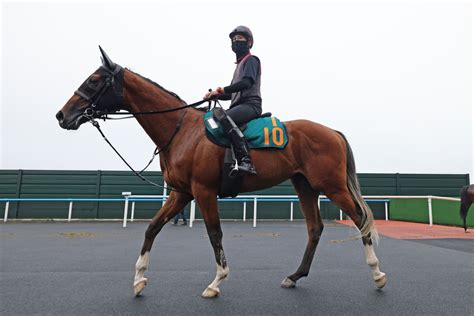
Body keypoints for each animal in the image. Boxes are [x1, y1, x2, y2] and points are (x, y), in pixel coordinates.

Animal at [55, 46, 386, 296]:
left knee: (360, 220)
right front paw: (138, 279)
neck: (182, 130)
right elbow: (152, 228)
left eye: (94, 80)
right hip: (304, 185)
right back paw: (295, 276)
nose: (62, 114)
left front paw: (216, 282)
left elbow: (215, 233)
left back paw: (378, 273)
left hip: (332, 186)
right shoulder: (181, 193)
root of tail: (332, 131)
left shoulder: (203, 192)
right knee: (315, 229)